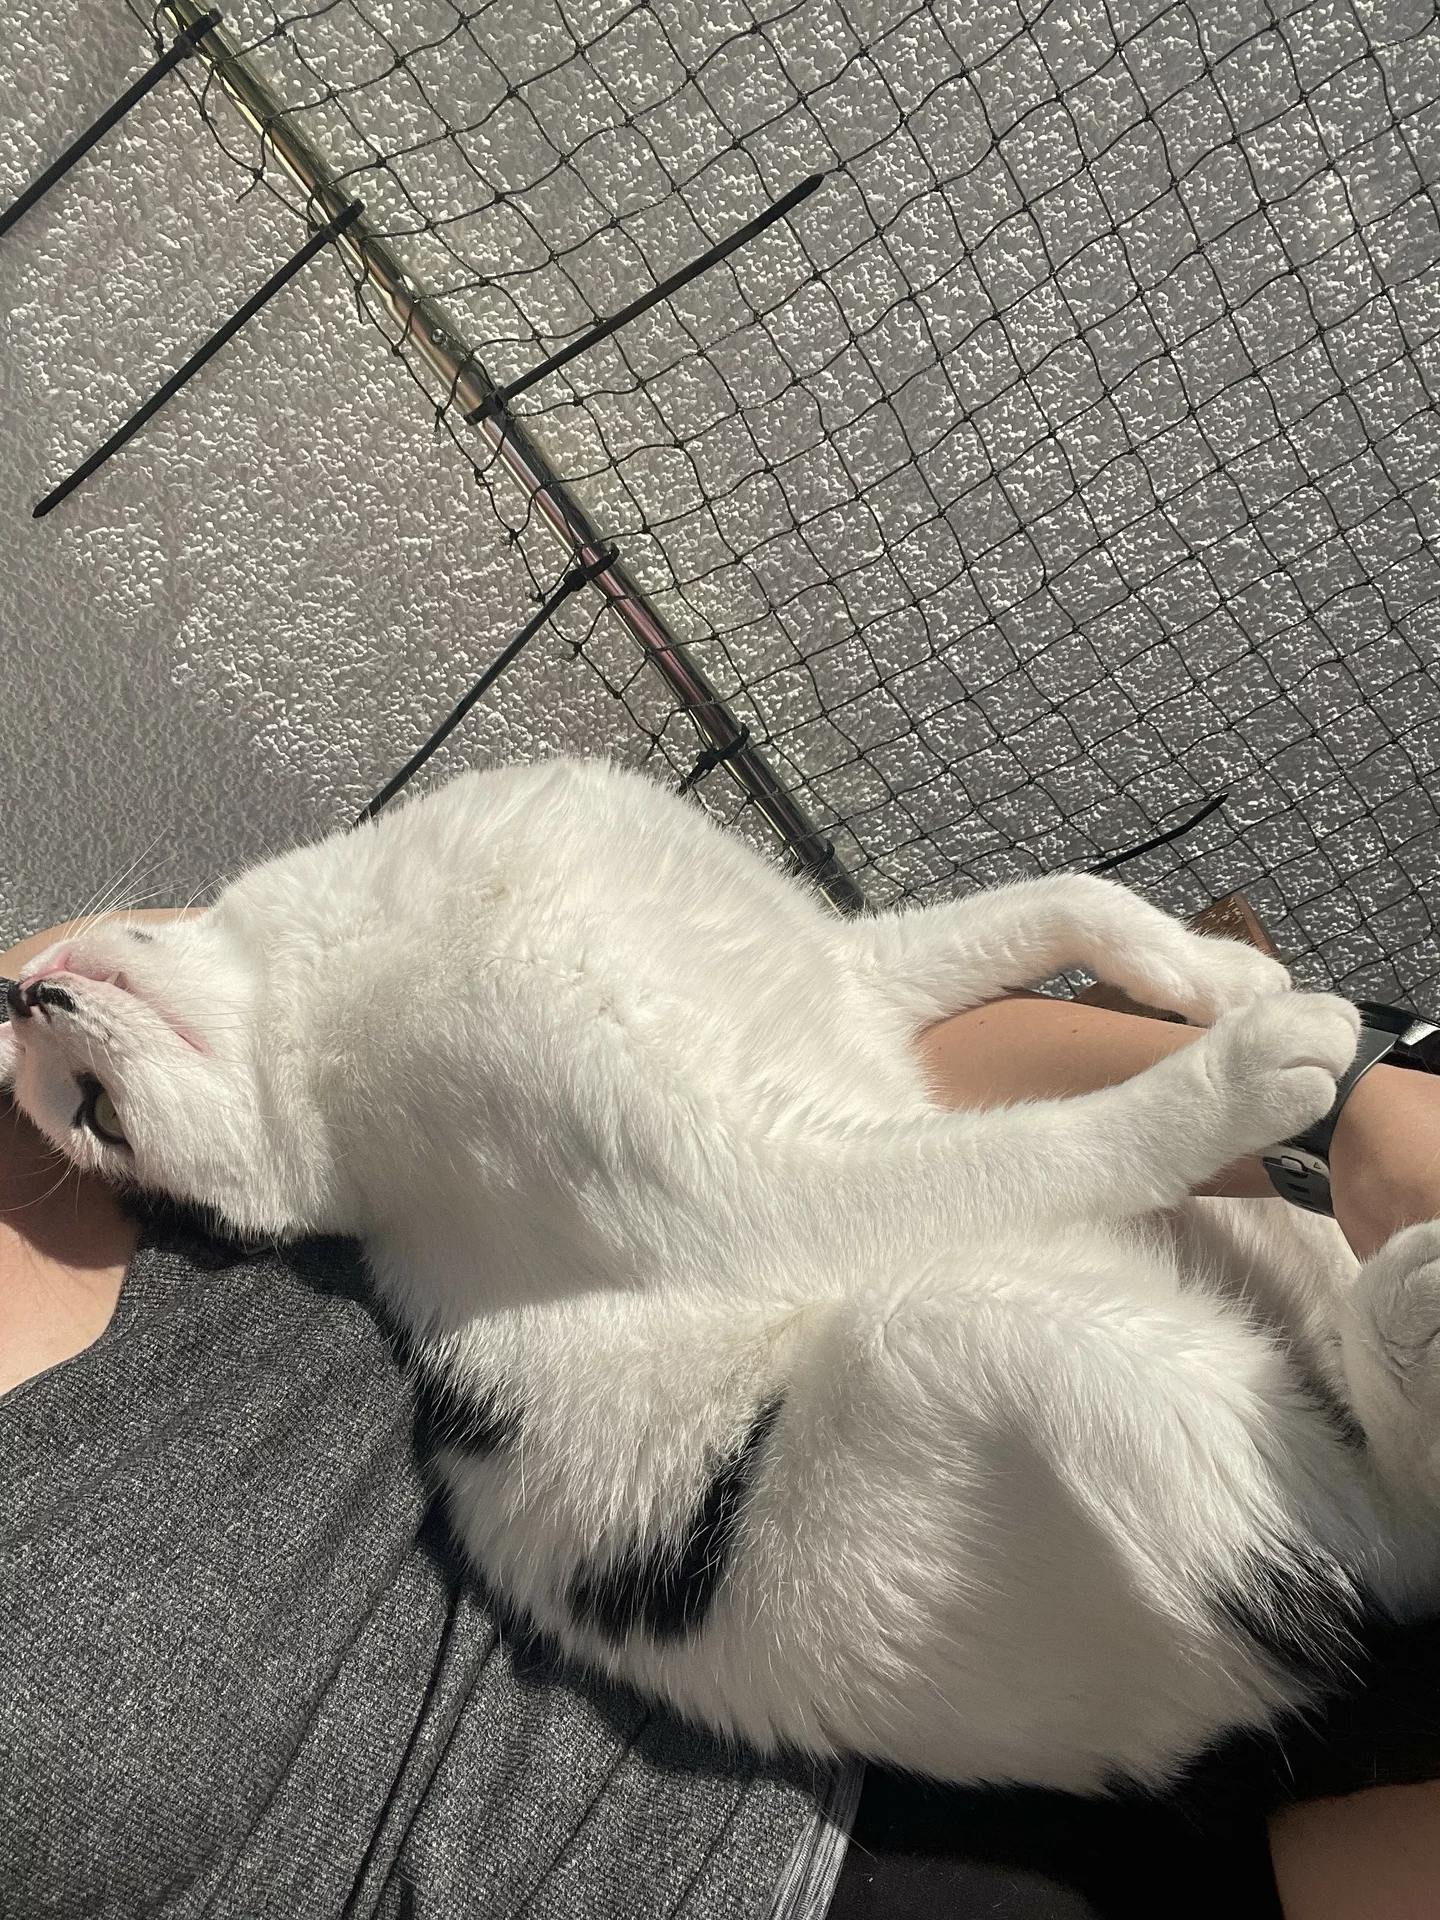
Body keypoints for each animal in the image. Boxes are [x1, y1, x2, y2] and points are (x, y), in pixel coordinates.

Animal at [7, 755, 1440, 1793]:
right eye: (93, 1120)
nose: (32, 1001)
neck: (352, 947)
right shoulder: (746, 1184)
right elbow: (1026, 1146)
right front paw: (1251, 1065)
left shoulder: (846, 971)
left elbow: (1072, 895)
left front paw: (1222, 971)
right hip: (1004, 1339)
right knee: (1388, 1551)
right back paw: (1406, 1299)